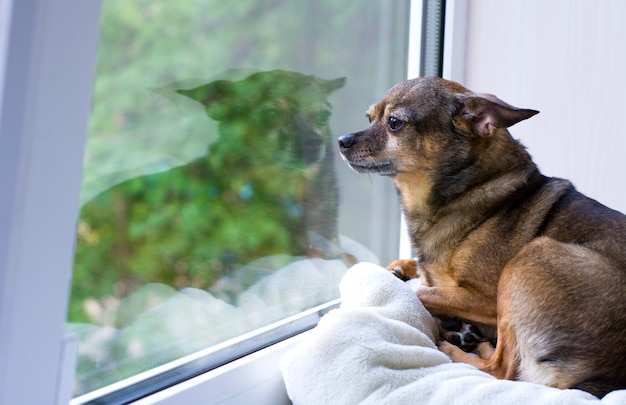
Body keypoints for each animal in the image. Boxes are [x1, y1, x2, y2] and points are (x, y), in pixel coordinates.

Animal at [336, 76, 624, 394]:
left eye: (394, 123)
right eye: (369, 117)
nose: (342, 141)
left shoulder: (486, 300)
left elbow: (422, 292)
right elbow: (422, 274)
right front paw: (400, 268)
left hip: (530, 258)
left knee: (502, 368)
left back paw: (456, 344)